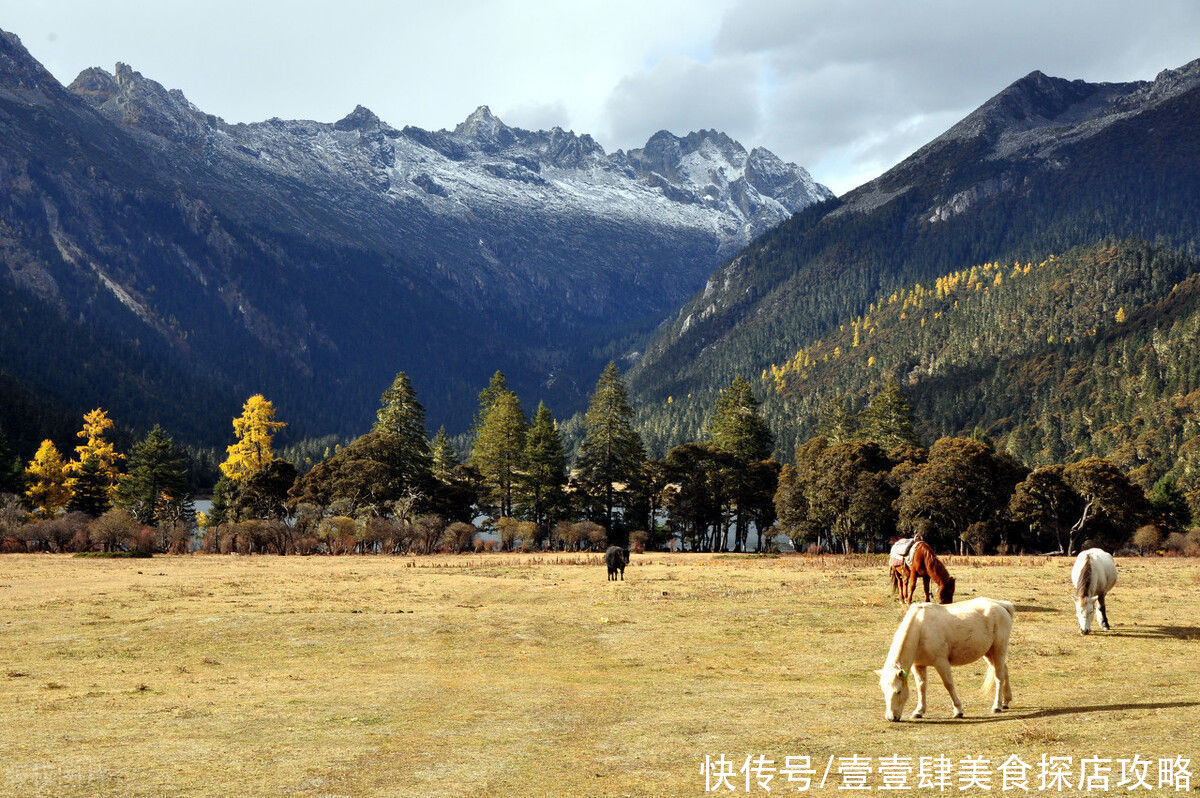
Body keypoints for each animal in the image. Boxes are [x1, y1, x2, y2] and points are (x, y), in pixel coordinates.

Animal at [878, 595, 1017, 720]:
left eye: (898, 691)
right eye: (884, 691)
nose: (891, 717)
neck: (920, 629)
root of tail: (1002, 605)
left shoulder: (941, 662)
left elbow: (949, 684)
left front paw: (958, 710)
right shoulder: (918, 666)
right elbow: (921, 686)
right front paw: (919, 711)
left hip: (998, 650)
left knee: (998, 677)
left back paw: (997, 706)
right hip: (989, 653)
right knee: (1004, 670)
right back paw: (1006, 701)